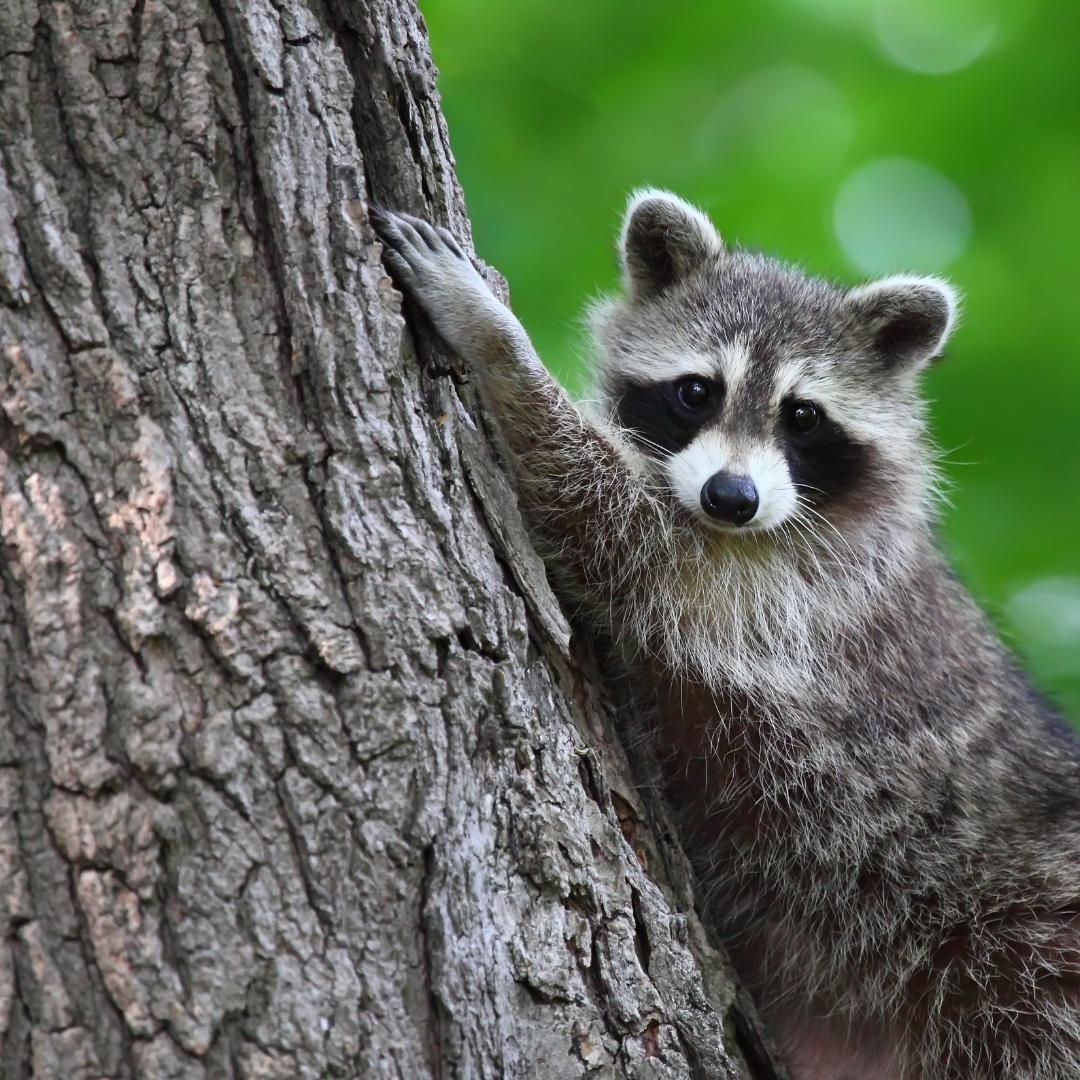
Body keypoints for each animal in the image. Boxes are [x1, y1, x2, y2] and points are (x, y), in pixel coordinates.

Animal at [371, 192, 1080, 1080]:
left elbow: (614, 526)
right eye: (696, 392)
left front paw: (498, 341)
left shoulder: (790, 592)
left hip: (1027, 951)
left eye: (802, 417)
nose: (731, 497)